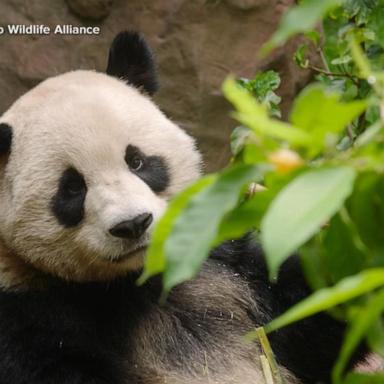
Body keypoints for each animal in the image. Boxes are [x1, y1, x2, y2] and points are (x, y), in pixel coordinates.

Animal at [0, 31, 366, 382]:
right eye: (73, 188)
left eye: (137, 161)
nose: (134, 224)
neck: (139, 278)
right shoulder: (29, 312)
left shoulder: (220, 261)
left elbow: (312, 318)